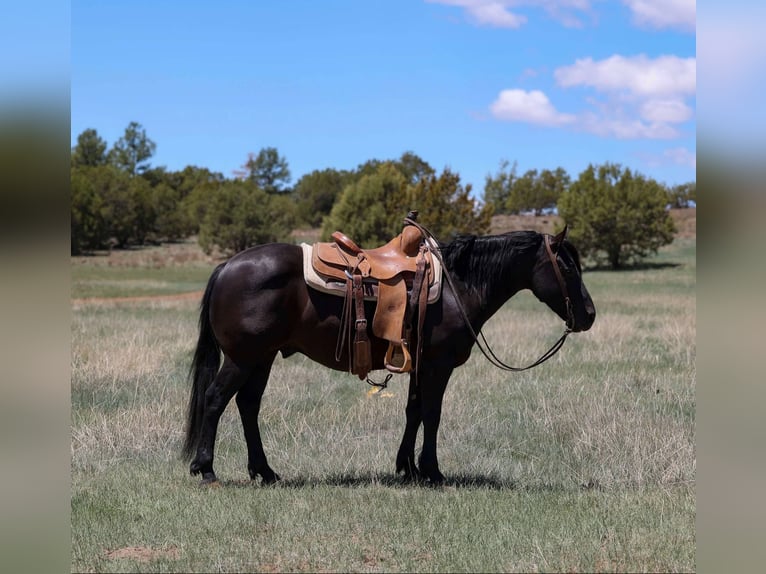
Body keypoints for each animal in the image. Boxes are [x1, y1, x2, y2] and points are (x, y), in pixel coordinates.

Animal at [182, 226, 596, 485]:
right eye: (567, 265)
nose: (589, 315)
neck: (458, 285)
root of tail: (227, 266)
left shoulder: (420, 365)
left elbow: (414, 411)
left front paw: (407, 468)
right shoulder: (438, 366)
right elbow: (432, 413)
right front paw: (432, 471)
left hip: (262, 357)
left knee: (248, 405)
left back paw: (264, 471)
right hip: (243, 358)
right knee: (215, 399)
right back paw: (206, 469)